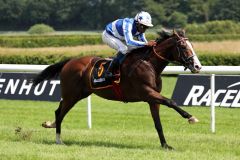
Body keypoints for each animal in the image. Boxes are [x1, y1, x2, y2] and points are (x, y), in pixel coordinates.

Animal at [33, 29, 202, 149]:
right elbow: (171, 101)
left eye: (192, 46)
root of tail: (69, 61)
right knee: (60, 112)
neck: (149, 64)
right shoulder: (146, 92)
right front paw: (191, 117)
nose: (198, 66)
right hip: (71, 95)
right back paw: (58, 139)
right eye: (183, 46)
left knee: (59, 111)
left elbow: (158, 123)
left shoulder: (152, 98)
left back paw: (50, 125)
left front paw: (165, 145)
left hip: (79, 94)